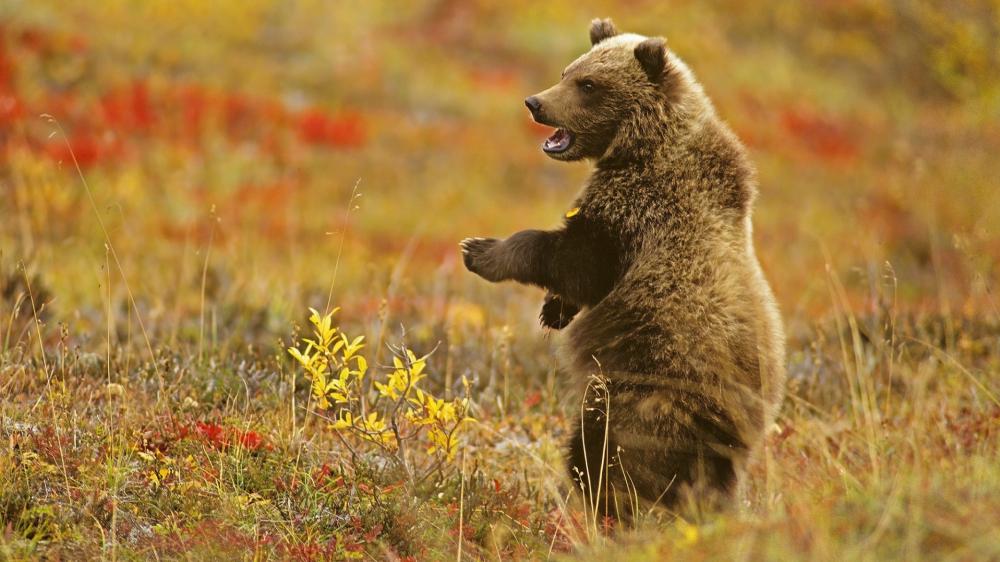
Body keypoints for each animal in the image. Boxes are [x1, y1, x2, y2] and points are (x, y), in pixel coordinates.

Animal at [461, 18, 786, 519]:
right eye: (567, 71)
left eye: (589, 85)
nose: (535, 103)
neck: (638, 147)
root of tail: (742, 431)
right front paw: (553, 311)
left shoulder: (638, 213)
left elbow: (574, 260)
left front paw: (480, 250)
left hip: (649, 395)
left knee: (603, 454)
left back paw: (609, 506)